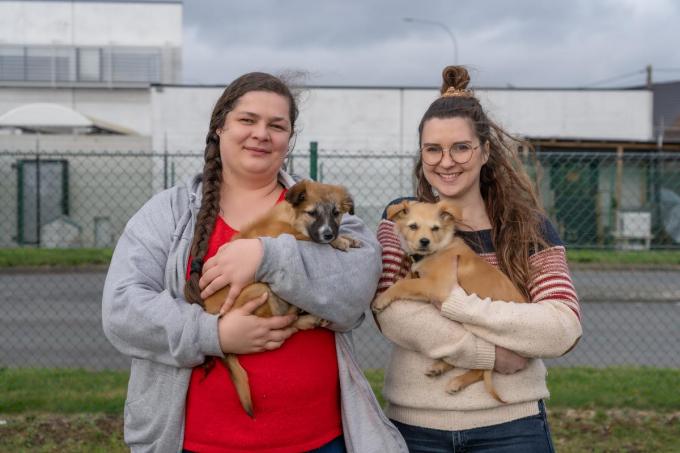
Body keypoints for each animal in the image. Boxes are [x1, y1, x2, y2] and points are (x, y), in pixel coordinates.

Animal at [202, 179, 362, 416]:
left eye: (336, 213)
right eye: (312, 213)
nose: (329, 234)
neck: (291, 219)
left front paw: (350, 238)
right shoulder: (292, 237)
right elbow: (310, 240)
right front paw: (341, 241)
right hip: (260, 289)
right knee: (287, 323)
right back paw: (308, 317)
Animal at [372, 200, 524, 400]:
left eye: (435, 228)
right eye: (413, 226)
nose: (424, 241)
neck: (438, 248)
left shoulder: (436, 286)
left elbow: (405, 285)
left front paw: (381, 299)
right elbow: (406, 279)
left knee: (481, 366)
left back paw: (457, 381)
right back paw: (439, 367)